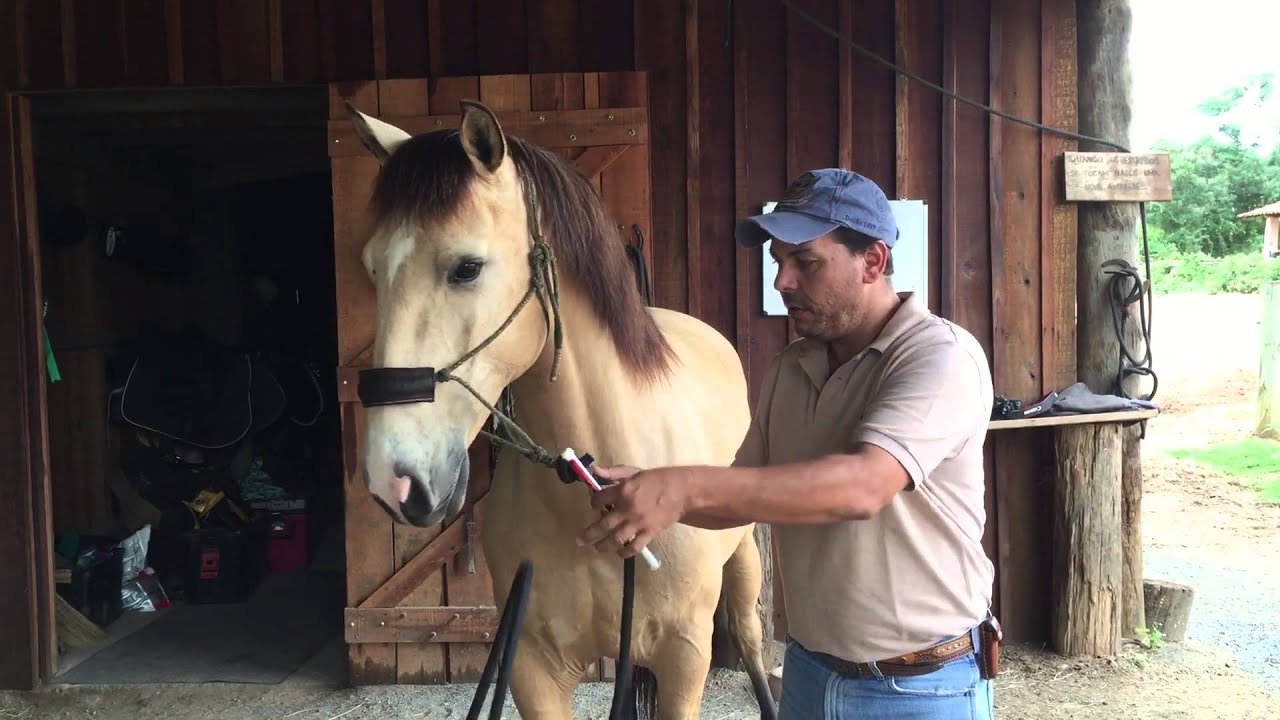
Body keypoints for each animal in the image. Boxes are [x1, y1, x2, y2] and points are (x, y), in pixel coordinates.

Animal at [345, 98, 777, 720]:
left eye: (467, 267)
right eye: (374, 268)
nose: (392, 479)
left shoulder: (685, 658)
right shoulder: (532, 668)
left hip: (741, 560)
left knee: (747, 636)